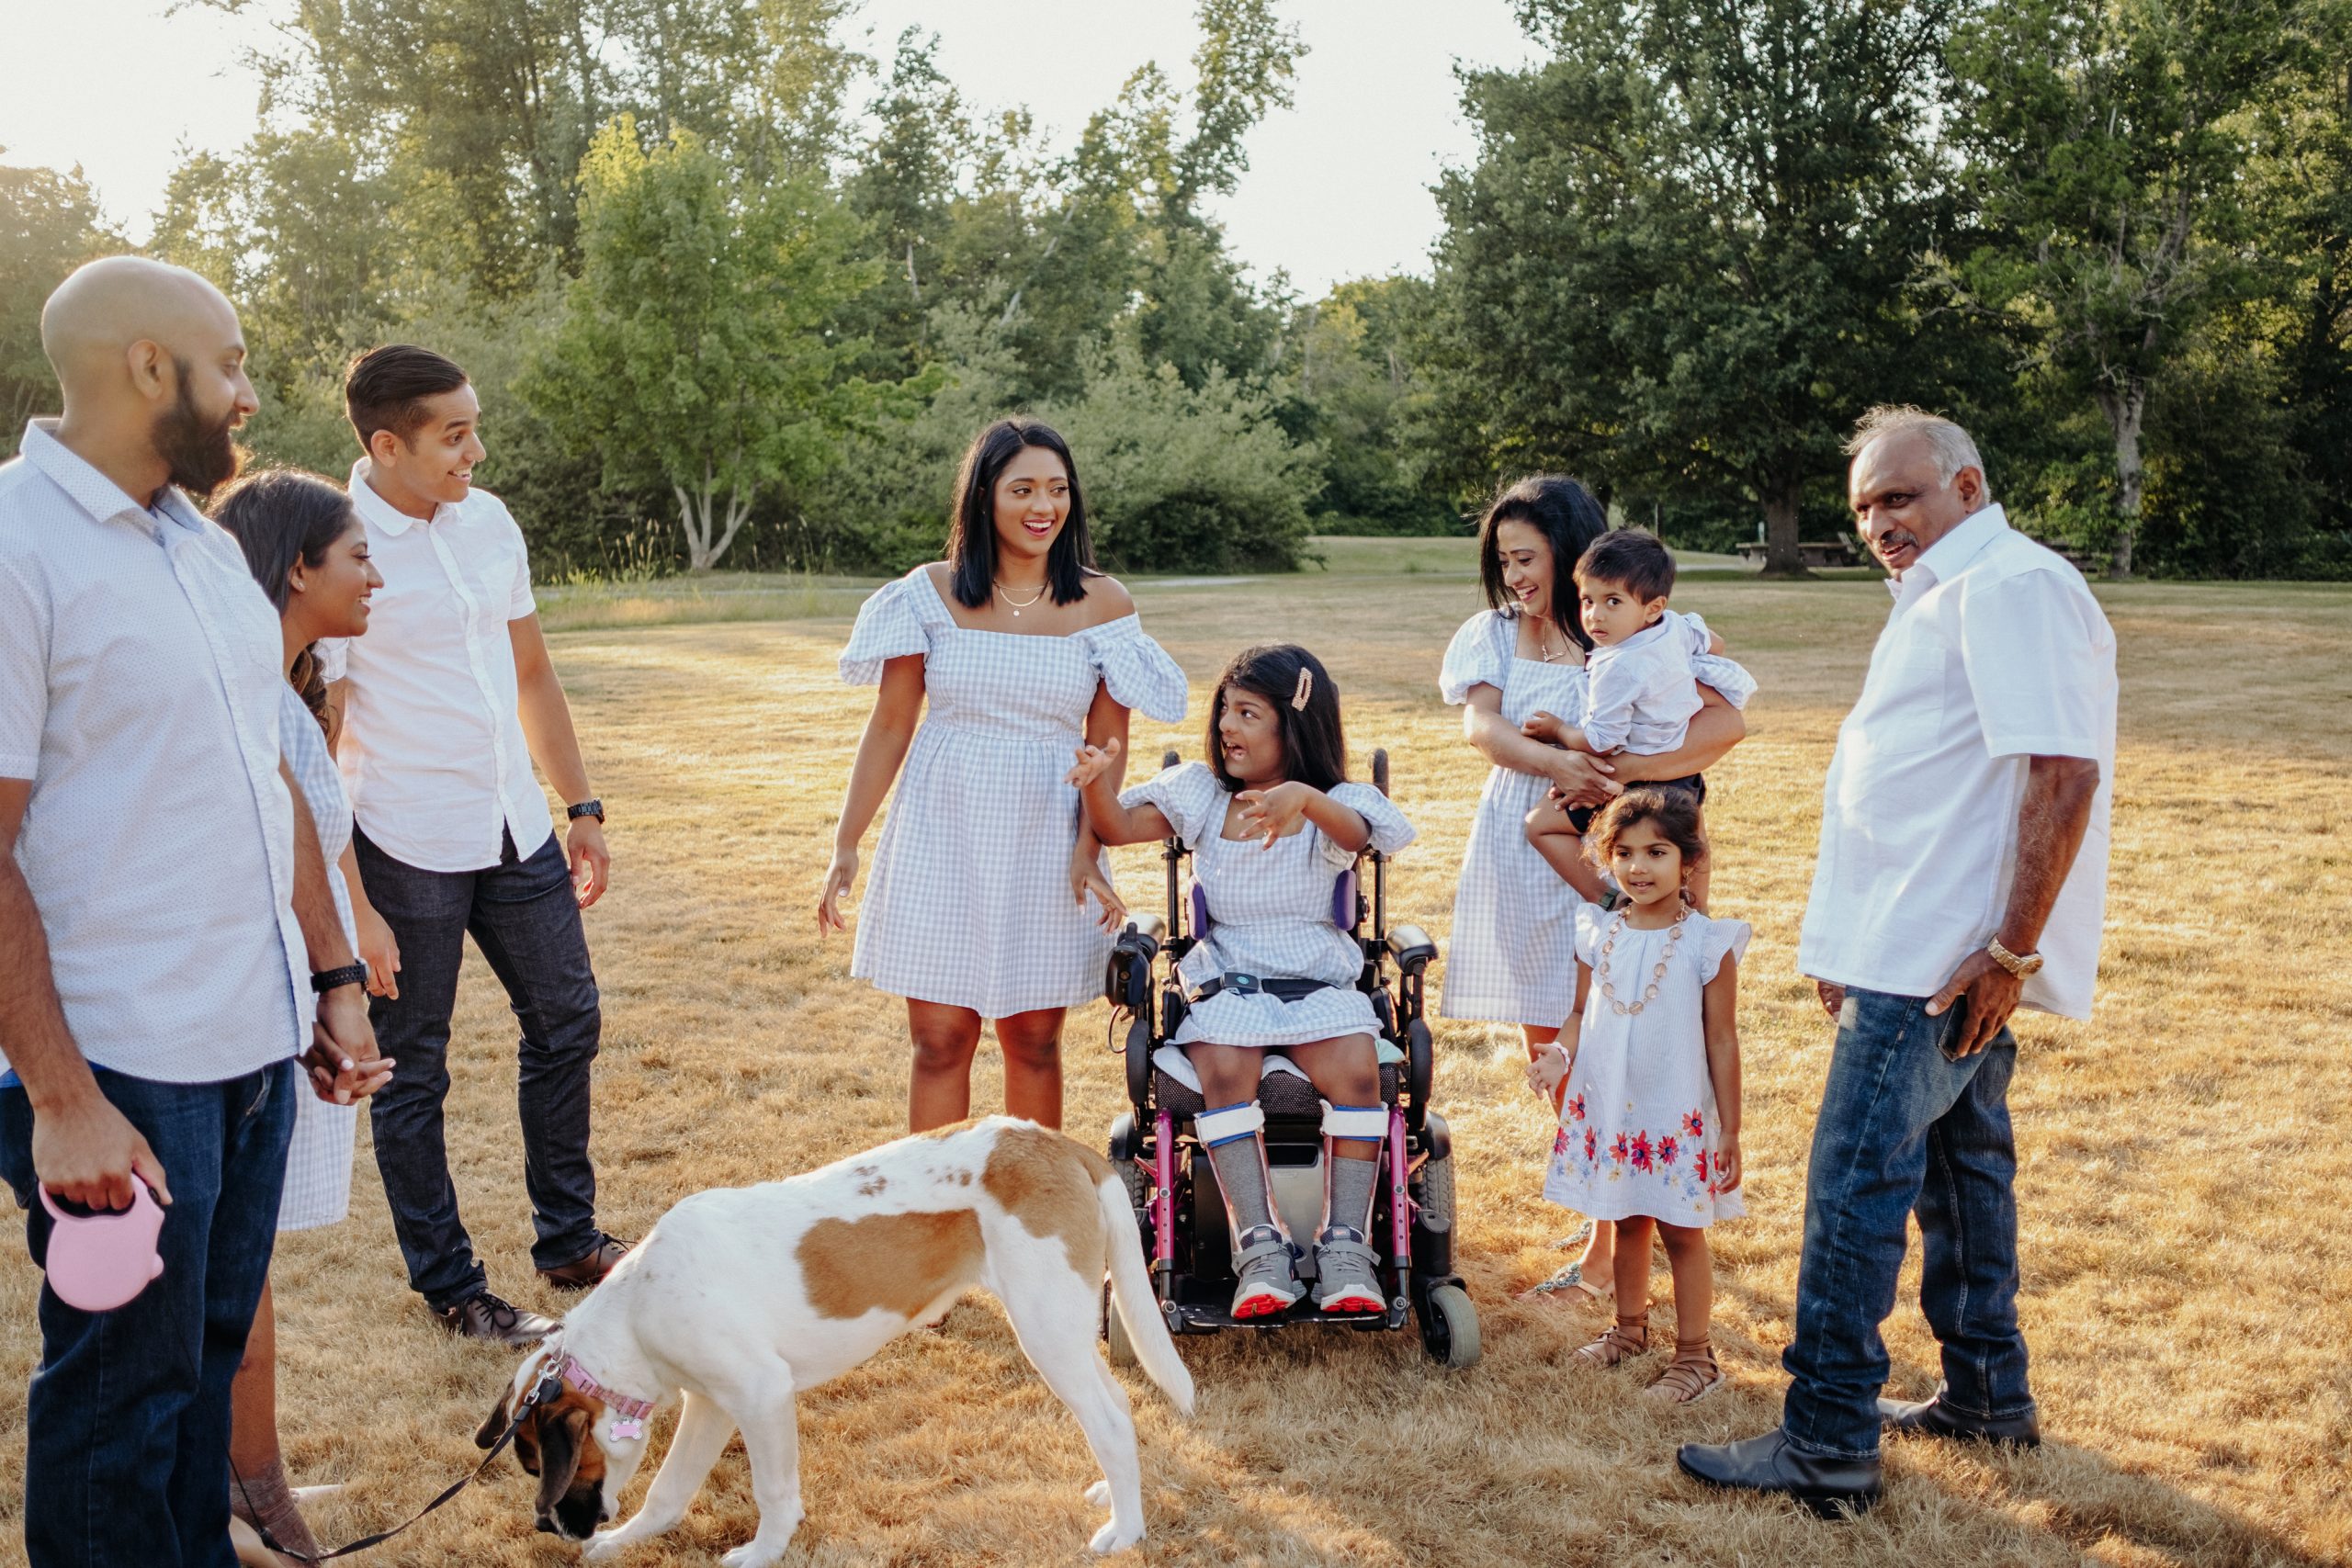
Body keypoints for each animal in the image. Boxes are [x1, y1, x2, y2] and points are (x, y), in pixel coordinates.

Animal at [475, 1123, 1194, 1561]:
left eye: (539, 1468)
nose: (544, 1528)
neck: (634, 1313)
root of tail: (1058, 1142)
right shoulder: (711, 1404)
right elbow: (668, 1492)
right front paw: (624, 1541)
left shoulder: (761, 1395)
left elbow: (772, 1492)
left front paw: (762, 1553)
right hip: (1064, 1330)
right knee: (1116, 1408)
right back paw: (1111, 1492)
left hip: (1046, 1329)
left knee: (1108, 1416)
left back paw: (1126, 1529)